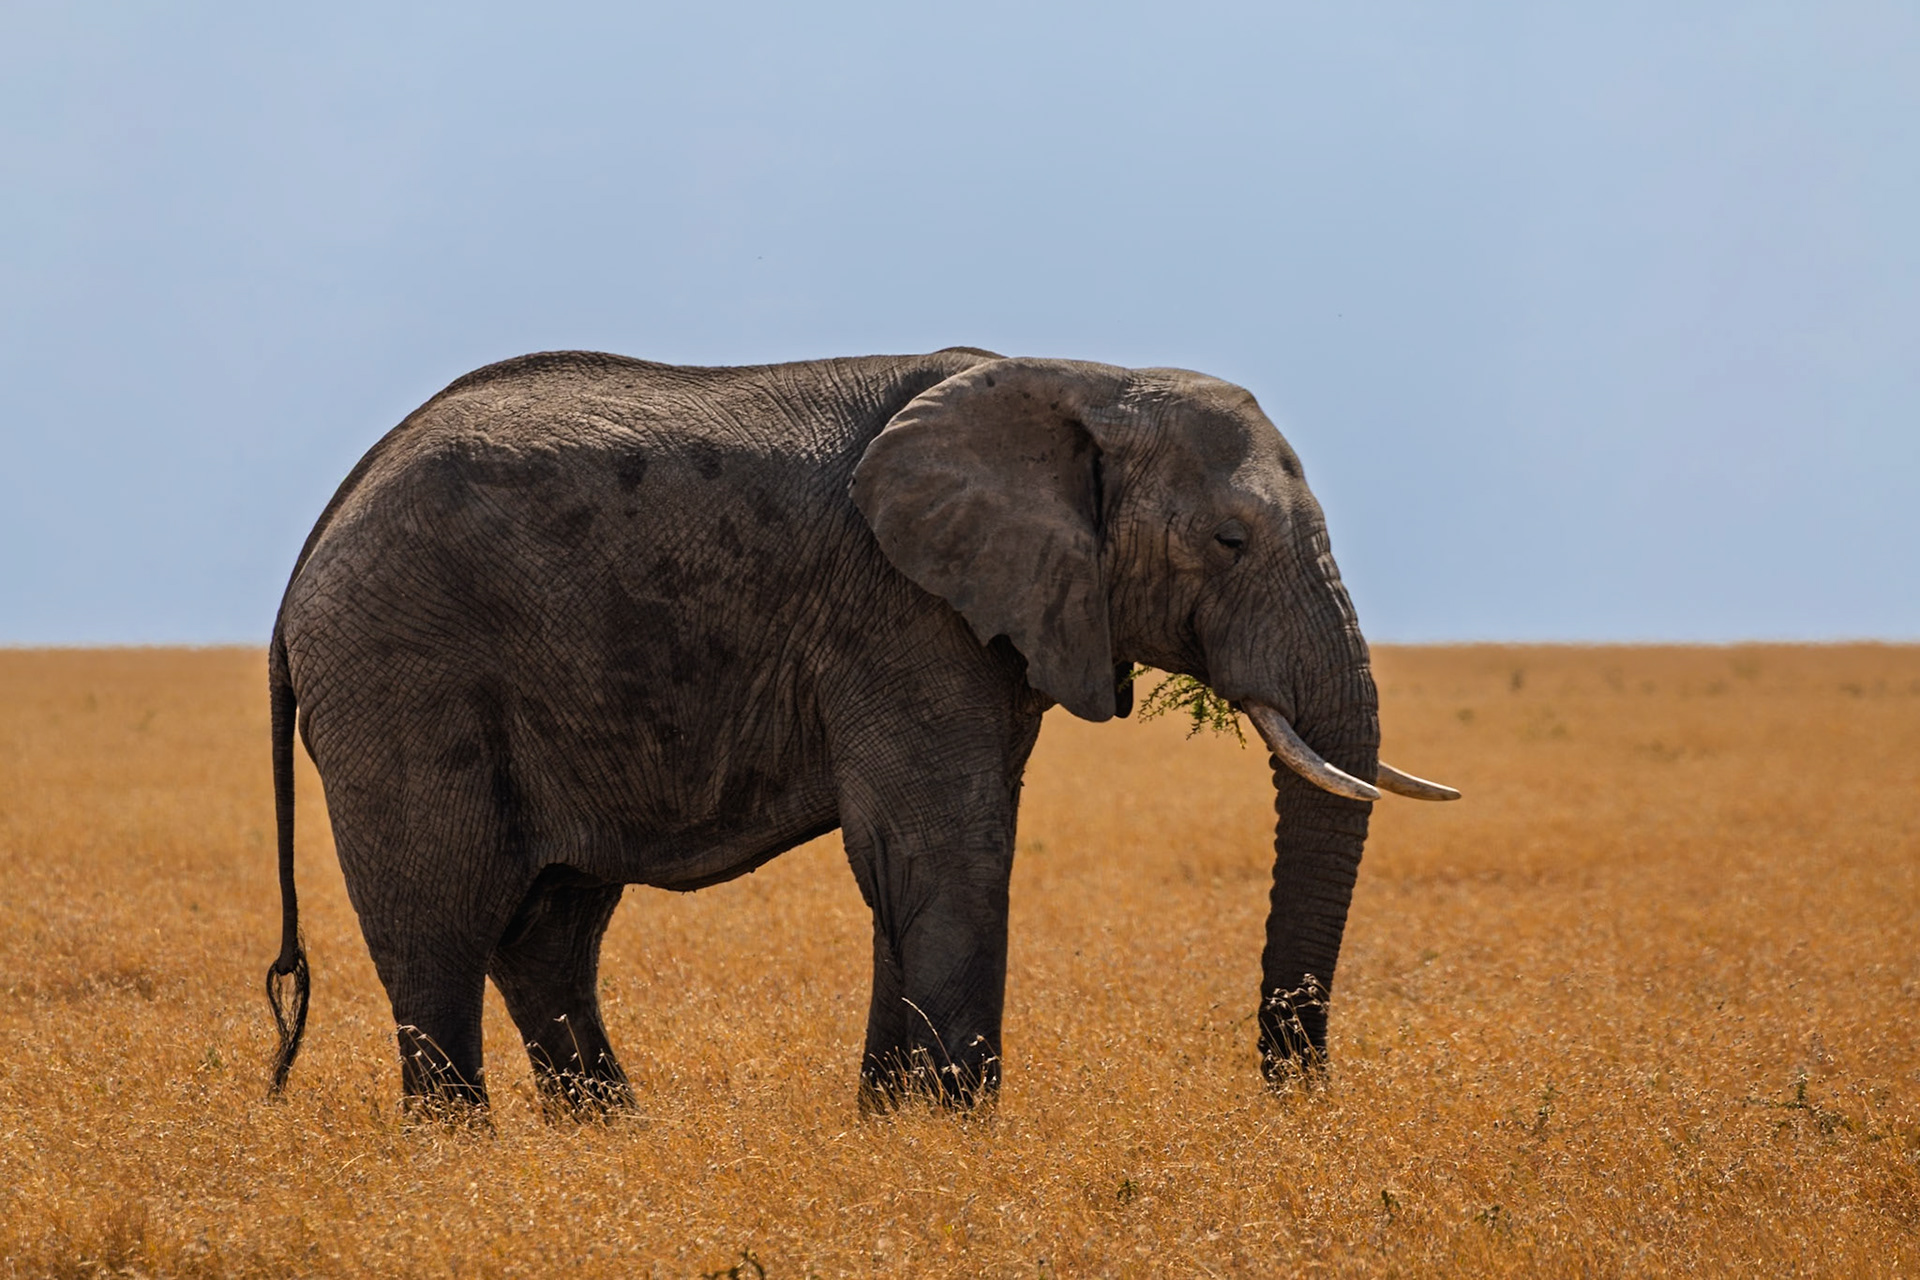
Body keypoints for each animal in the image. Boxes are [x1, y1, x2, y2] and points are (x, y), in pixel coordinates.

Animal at [262, 347, 1457, 1115]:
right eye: (1228, 539)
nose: (1292, 1099)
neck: (1077, 376)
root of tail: (309, 547)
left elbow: (915, 858)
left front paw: (891, 1123)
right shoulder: (901, 612)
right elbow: (944, 849)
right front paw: (960, 1130)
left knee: (550, 930)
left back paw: (606, 1138)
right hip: (401, 672)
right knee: (437, 929)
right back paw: (460, 1153)